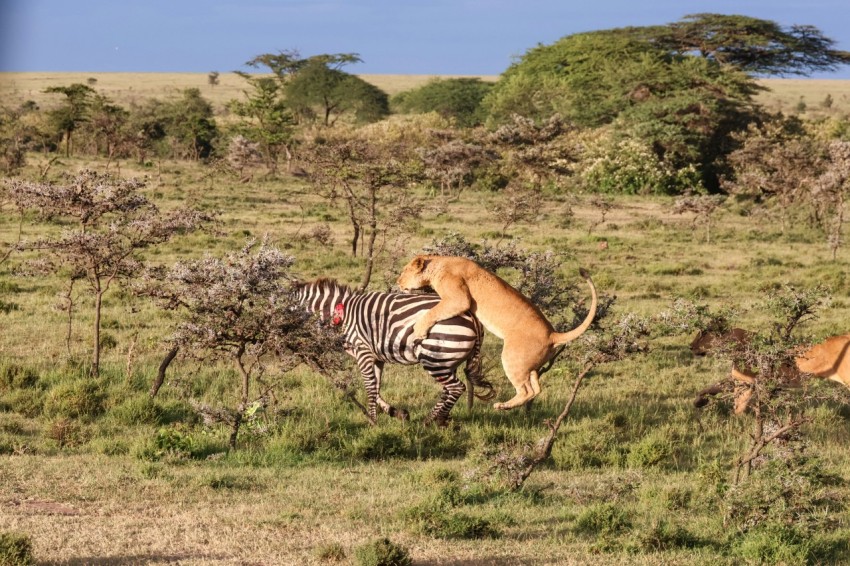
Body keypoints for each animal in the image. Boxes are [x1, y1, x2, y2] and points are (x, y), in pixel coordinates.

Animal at [294, 280, 494, 426]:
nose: (298, 350)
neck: (343, 313)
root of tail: (472, 316)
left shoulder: (363, 351)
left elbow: (369, 386)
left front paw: (373, 421)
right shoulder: (376, 357)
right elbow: (376, 387)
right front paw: (397, 413)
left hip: (434, 356)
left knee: (456, 387)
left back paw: (430, 421)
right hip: (447, 359)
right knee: (449, 388)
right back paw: (440, 420)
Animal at [396, 255, 596, 410]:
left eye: (404, 271)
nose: (397, 283)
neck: (439, 263)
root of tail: (552, 334)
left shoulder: (458, 299)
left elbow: (434, 311)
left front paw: (419, 330)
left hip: (512, 358)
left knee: (527, 390)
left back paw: (502, 406)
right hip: (529, 364)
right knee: (536, 387)